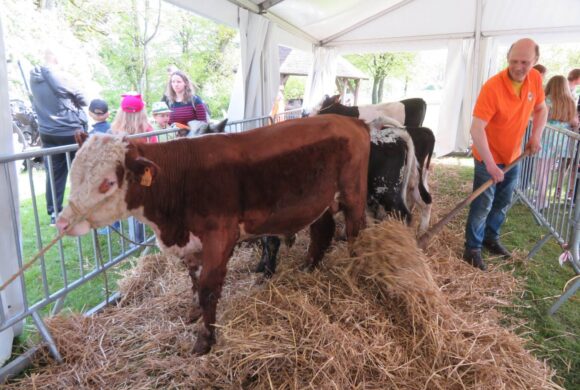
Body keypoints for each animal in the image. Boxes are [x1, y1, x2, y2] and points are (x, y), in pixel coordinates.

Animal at [56, 114, 370, 354]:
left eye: (108, 182)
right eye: (74, 173)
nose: (62, 222)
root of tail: (350, 120)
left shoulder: (220, 236)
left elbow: (208, 287)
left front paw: (205, 340)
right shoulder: (191, 243)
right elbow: (194, 280)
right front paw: (194, 312)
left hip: (353, 193)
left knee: (356, 232)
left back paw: (356, 271)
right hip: (321, 200)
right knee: (323, 230)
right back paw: (309, 266)